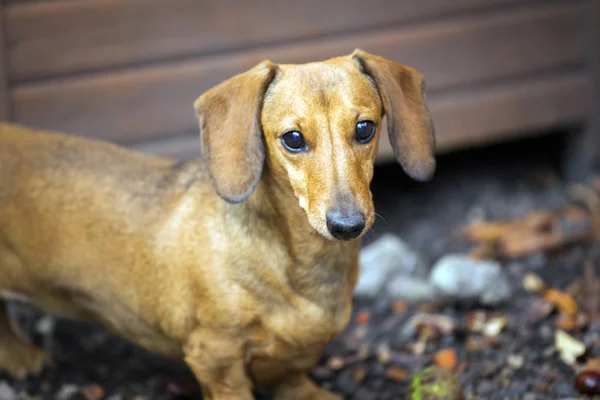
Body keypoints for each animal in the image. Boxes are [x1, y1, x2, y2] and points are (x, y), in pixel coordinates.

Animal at [0, 50, 434, 400]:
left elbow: (294, 378)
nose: (347, 225)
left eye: (365, 128)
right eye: (293, 138)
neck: (297, 264)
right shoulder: (215, 359)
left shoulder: (295, 361)